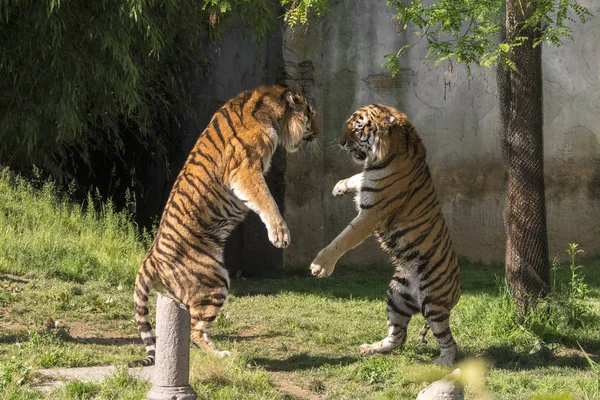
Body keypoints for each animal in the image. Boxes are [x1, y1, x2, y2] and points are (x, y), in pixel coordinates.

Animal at [131, 84, 318, 366]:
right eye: (311, 115)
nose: (318, 133)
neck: (269, 110)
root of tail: (149, 260)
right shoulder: (245, 169)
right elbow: (267, 201)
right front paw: (280, 235)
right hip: (215, 281)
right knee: (194, 330)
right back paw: (222, 355)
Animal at [310, 104, 460, 366]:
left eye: (357, 127)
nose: (340, 142)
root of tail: (459, 291)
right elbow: (357, 178)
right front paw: (339, 187)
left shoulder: (371, 214)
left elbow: (342, 240)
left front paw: (320, 266)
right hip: (397, 296)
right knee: (398, 336)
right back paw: (371, 348)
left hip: (433, 300)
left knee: (449, 341)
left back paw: (443, 362)